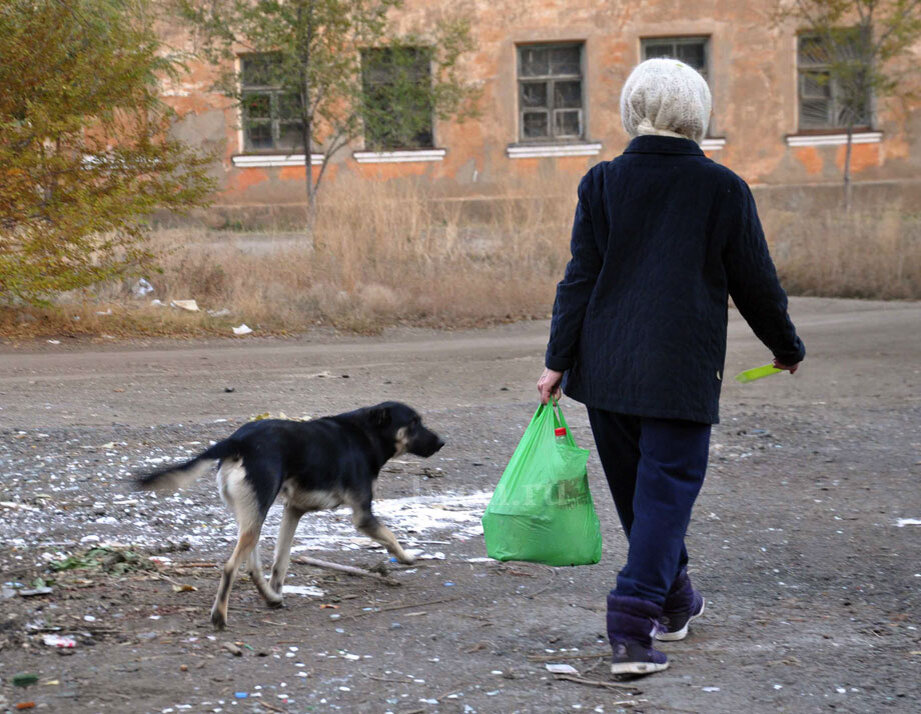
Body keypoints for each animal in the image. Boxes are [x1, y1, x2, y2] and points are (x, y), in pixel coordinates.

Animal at [136, 400, 446, 628]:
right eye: (414, 423)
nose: (442, 442)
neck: (366, 434)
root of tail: (238, 441)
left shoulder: (294, 510)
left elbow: (281, 561)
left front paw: (277, 589)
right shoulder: (363, 515)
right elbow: (390, 535)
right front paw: (407, 557)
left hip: (251, 515)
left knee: (251, 565)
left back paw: (271, 597)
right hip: (255, 515)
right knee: (230, 567)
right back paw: (220, 616)